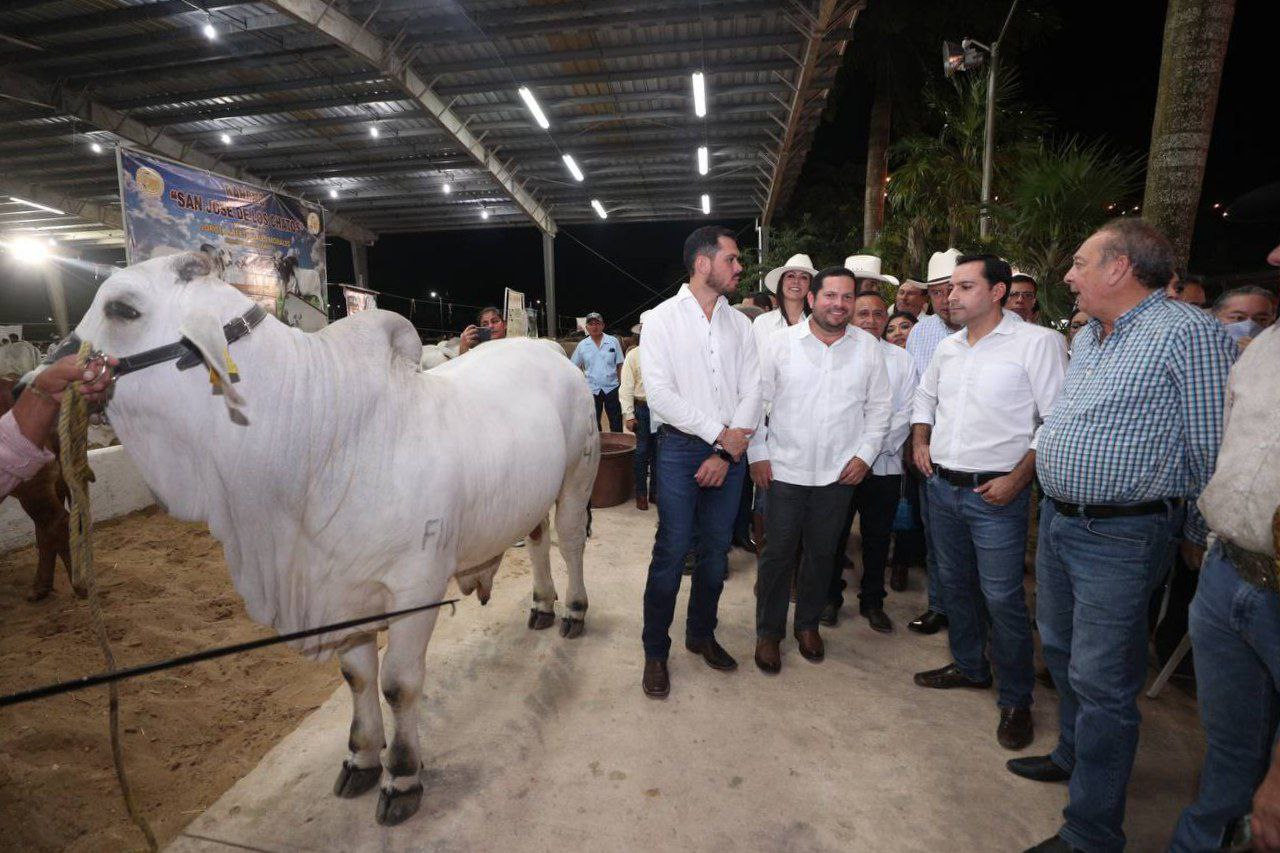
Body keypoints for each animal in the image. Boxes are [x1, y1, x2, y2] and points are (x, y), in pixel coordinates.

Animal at [72, 252, 601, 824]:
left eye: (122, 309)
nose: (44, 374)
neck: (315, 437)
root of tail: (548, 348)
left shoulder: (416, 588)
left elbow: (398, 684)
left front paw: (403, 775)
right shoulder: (343, 593)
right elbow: (358, 677)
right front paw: (363, 757)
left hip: (577, 475)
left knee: (570, 541)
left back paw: (572, 610)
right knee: (538, 539)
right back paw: (542, 603)